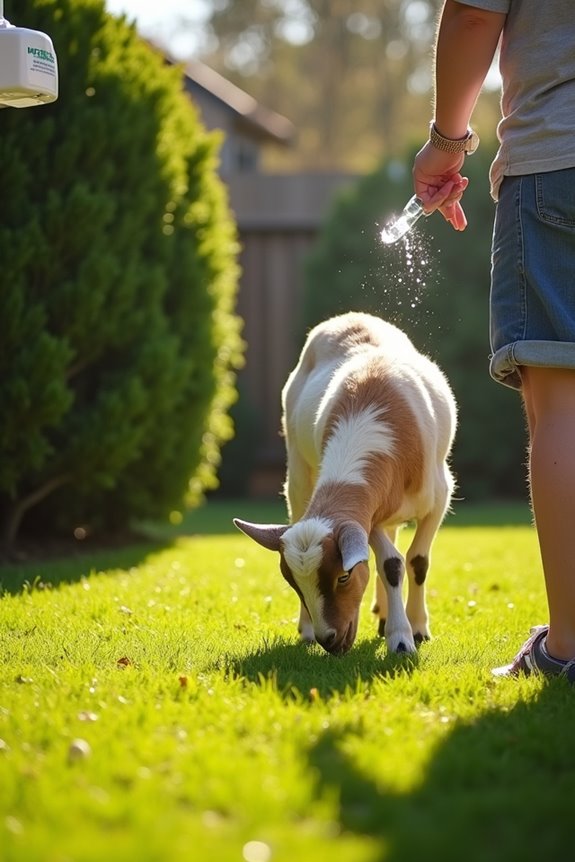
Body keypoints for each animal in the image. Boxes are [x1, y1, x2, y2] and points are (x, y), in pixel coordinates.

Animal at [234, 311, 457, 656]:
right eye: (293, 583)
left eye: (343, 577)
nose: (329, 640)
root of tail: (348, 317)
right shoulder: (367, 514)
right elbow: (390, 563)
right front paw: (400, 635)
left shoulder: (438, 498)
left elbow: (416, 562)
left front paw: (415, 631)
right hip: (298, 471)